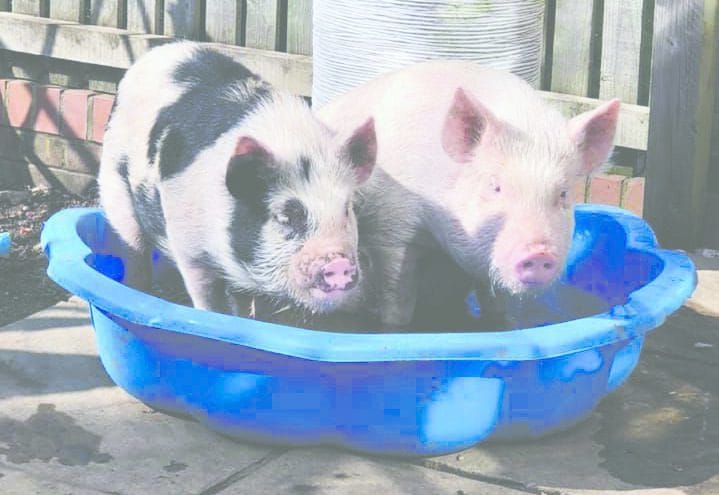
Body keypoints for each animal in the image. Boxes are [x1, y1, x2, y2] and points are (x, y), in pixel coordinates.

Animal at [97, 41, 377, 316]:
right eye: (285, 216)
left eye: (347, 209)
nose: (338, 262)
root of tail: (157, 52)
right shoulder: (189, 249)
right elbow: (207, 297)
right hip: (114, 184)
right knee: (134, 249)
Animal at [317, 60, 619, 328]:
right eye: (495, 186)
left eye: (563, 194)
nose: (539, 252)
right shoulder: (392, 229)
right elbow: (397, 302)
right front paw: (394, 325)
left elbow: (495, 304)